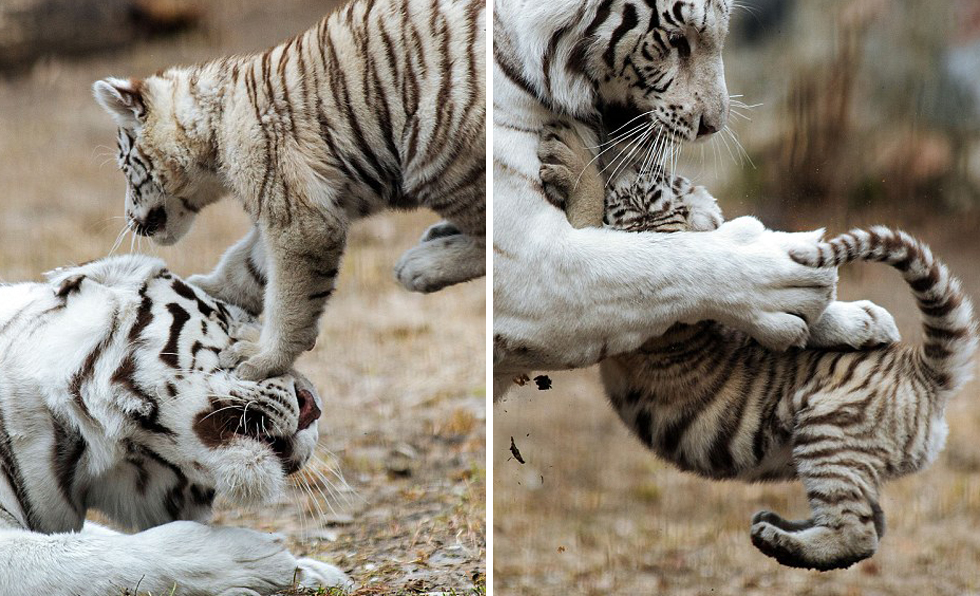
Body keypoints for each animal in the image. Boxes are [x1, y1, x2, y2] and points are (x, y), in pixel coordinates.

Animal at [494, 0, 892, 398]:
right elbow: (661, 266)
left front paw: (859, 320)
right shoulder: (530, 265)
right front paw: (793, 281)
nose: (713, 126)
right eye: (676, 41)